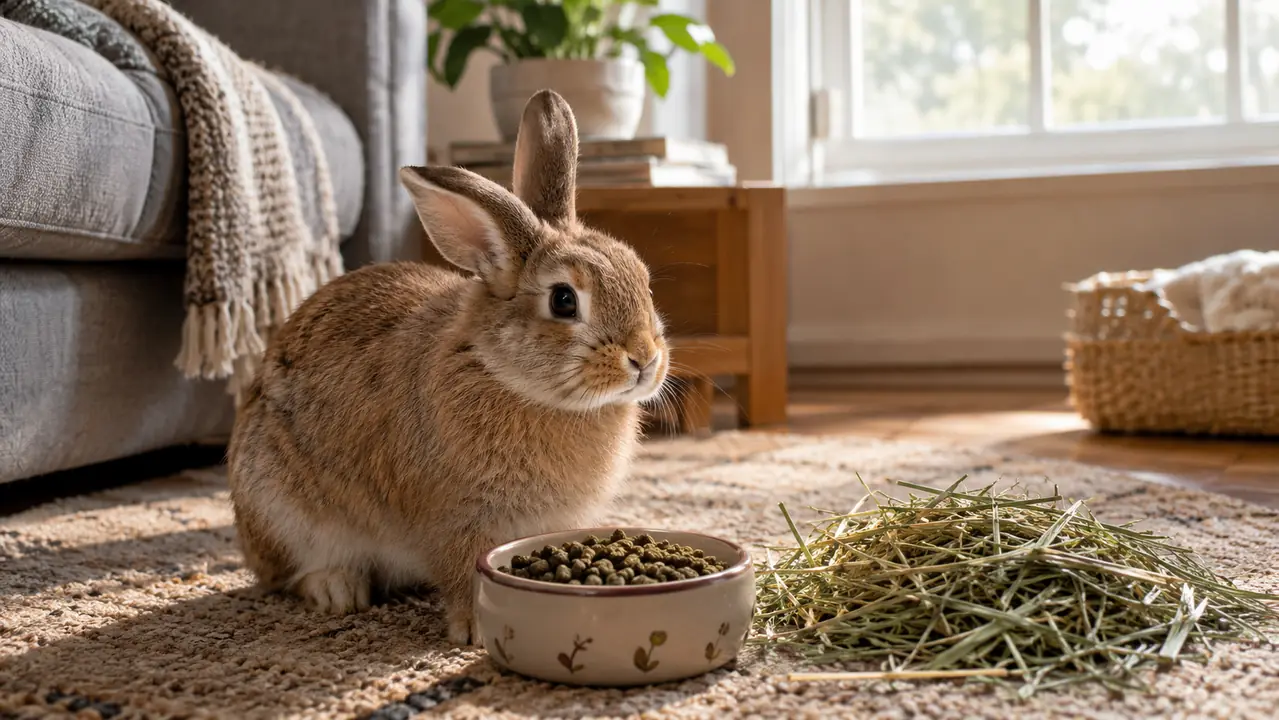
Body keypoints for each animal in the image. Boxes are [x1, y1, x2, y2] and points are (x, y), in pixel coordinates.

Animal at [226, 89, 671, 645]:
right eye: (564, 301)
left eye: (643, 280)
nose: (644, 359)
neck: (505, 375)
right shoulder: (457, 520)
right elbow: (463, 572)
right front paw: (476, 628)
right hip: (284, 511)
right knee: (290, 572)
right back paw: (337, 589)